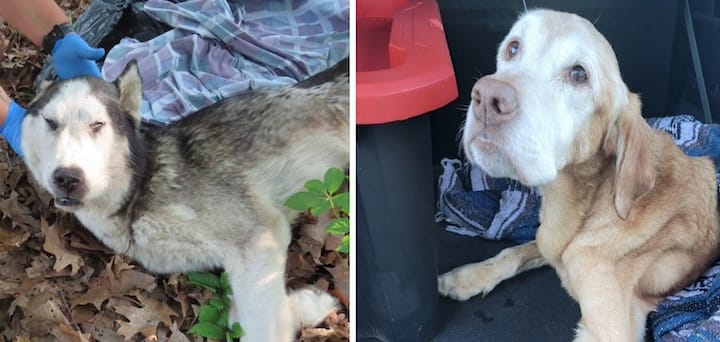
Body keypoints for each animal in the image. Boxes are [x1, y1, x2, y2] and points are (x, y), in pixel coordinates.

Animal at [21, 60, 348, 340]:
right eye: (51, 122)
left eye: (97, 125)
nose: (67, 177)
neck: (137, 193)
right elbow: (244, 316)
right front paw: (306, 305)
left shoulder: (260, 237)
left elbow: (258, 328)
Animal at [436, 9, 720, 340]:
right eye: (513, 47)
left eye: (579, 74)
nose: (486, 97)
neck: (587, 202)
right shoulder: (548, 241)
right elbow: (513, 252)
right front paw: (467, 277)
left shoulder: (609, 329)